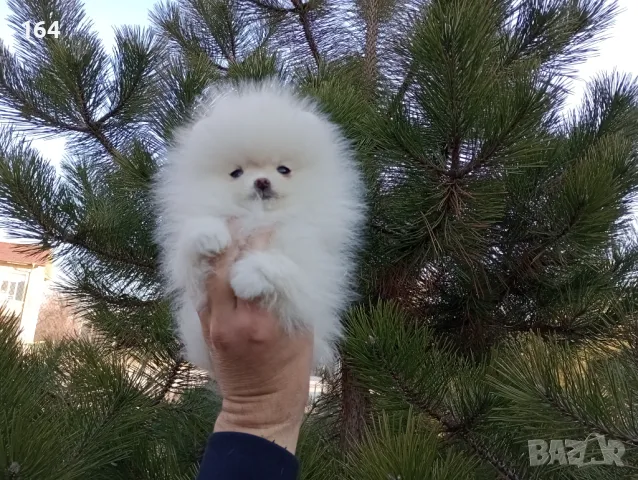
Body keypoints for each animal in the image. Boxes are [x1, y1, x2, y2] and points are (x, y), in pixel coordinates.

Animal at [152, 80, 368, 374]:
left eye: (283, 169)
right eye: (236, 173)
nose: (262, 181)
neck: (258, 217)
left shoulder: (311, 265)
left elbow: (282, 264)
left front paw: (248, 276)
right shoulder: (195, 282)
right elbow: (190, 247)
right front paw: (208, 235)